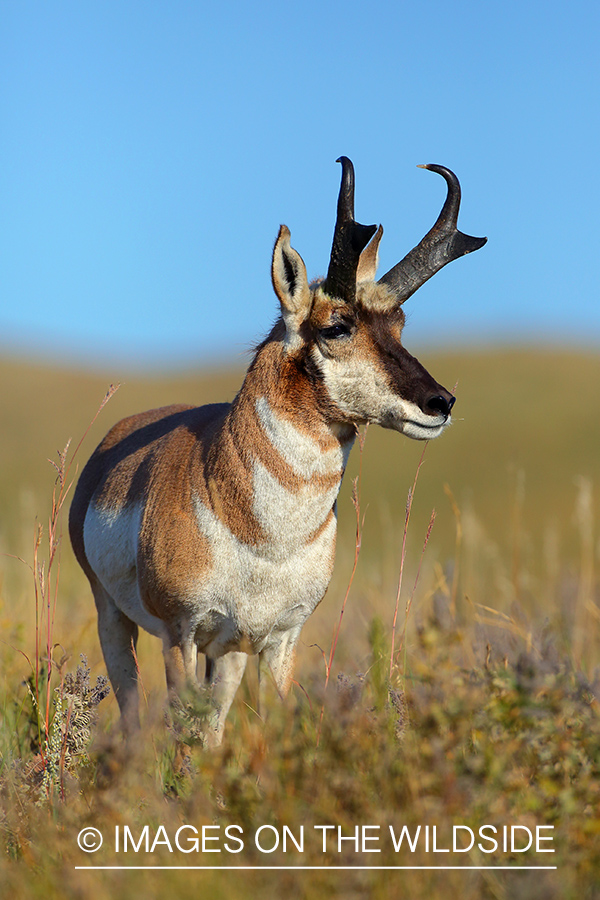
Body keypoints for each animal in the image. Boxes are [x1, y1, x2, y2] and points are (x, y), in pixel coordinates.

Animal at [69, 158, 486, 746]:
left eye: (400, 323)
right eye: (337, 326)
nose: (440, 402)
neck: (260, 535)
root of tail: (111, 443)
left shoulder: (278, 639)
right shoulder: (180, 634)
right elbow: (181, 740)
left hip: (229, 651)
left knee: (215, 724)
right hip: (116, 622)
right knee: (133, 714)